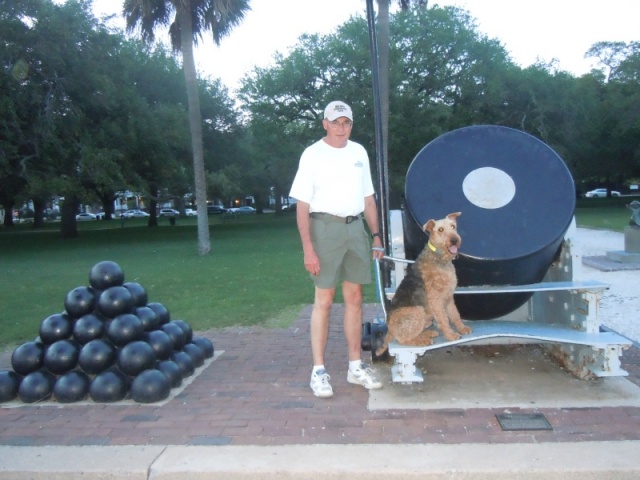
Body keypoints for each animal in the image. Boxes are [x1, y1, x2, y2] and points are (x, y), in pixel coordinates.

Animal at [376, 212, 470, 354]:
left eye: (453, 226)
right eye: (440, 230)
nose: (454, 240)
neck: (439, 258)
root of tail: (389, 330)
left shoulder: (448, 297)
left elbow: (455, 314)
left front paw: (462, 328)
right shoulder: (436, 299)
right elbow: (444, 319)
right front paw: (451, 335)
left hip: (425, 318)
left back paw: (428, 334)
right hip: (417, 312)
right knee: (403, 339)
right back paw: (424, 340)